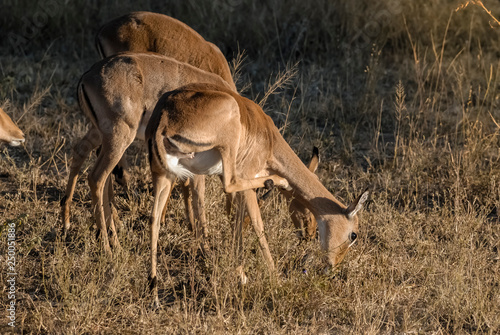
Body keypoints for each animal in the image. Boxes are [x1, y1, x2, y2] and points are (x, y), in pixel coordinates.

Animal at [145, 83, 368, 308]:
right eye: (353, 235)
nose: (333, 268)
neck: (269, 138)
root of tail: (164, 117)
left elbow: (237, 226)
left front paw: (241, 276)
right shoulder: (247, 180)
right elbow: (258, 226)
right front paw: (275, 281)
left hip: (164, 175)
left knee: (154, 219)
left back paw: (154, 294)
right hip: (224, 157)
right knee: (229, 184)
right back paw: (277, 181)